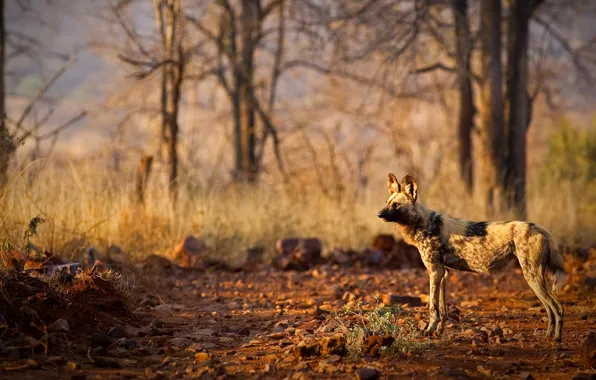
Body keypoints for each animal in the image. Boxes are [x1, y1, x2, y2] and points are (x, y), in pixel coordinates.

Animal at [380, 172, 564, 342]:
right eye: (387, 202)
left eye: (396, 205)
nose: (379, 214)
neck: (423, 223)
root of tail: (539, 228)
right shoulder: (443, 273)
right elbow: (443, 309)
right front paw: (439, 331)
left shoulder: (434, 272)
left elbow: (433, 307)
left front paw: (429, 330)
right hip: (535, 278)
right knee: (549, 309)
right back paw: (548, 336)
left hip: (531, 276)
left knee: (558, 307)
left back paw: (557, 338)